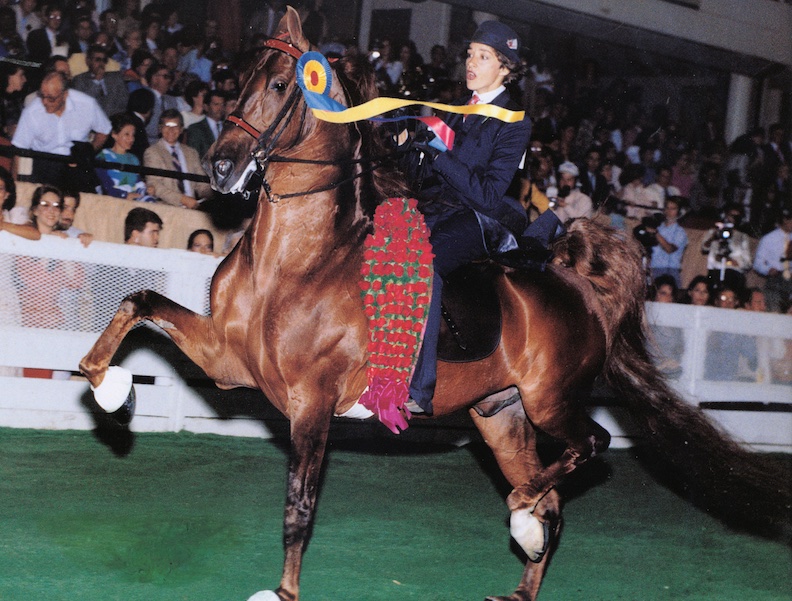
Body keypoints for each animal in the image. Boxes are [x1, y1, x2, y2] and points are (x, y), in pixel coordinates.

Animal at [79, 8, 784, 600]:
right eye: (239, 78)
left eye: (280, 85)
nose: (222, 168)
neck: (298, 260)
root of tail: (578, 285)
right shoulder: (227, 361)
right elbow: (138, 301)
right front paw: (111, 389)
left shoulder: (312, 403)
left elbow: (298, 508)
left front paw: (281, 592)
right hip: (499, 414)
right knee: (554, 502)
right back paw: (521, 572)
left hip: (550, 402)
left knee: (591, 446)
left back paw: (522, 515)